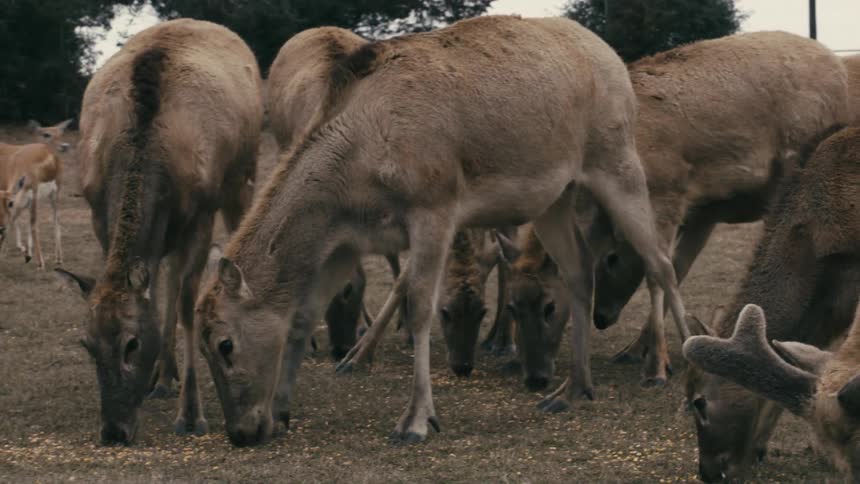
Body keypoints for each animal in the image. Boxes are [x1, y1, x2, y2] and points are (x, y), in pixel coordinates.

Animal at [0, 119, 72, 268]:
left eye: (62, 132)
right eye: (46, 134)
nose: (65, 146)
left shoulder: (36, 194)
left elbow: (36, 222)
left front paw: (40, 260)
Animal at [54, 19, 263, 445]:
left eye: (131, 344)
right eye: (86, 343)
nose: (114, 431)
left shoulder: (200, 213)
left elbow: (187, 305)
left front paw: (191, 415)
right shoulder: (99, 214)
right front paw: (161, 380)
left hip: (241, 177)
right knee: (166, 273)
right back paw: (164, 377)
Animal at [194, 15, 690, 447]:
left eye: (225, 344)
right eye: (202, 347)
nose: (240, 433)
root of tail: (613, 60)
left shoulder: (434, 206)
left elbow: (419, 309)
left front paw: (415, 421)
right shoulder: (346, 241)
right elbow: (302, 314)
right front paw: (281, 413)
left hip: (617, 158)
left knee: (661, 263)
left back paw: (678, 377)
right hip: (555, 196)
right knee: (580, 269)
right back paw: (572, 389)